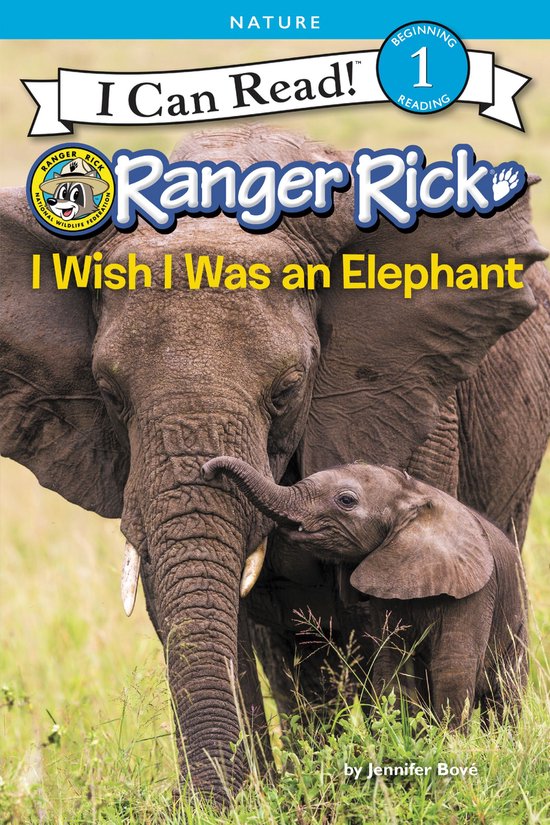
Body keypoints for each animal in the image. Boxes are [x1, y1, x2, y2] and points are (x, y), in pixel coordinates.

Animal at [202, 457, 529, 728]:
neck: (414, 495)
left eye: (346, 500)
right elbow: (390, 662)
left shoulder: (473, 593)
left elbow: (453, 668)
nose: (207, 470)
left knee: (505, 697)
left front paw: (449, 746)